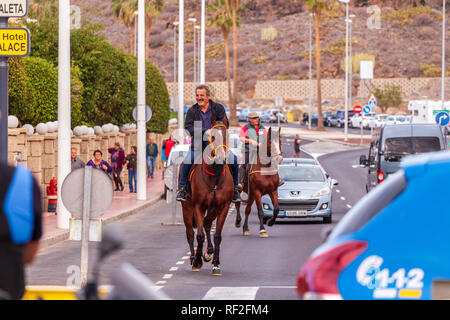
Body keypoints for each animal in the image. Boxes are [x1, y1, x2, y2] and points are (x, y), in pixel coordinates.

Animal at [181, 117, 234, 276]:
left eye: (227, 135)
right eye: (212, 137)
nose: (222, 157)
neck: (215, 175)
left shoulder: (223, 207)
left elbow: (217, 236)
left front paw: (216, 265)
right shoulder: (199, 206)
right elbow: (199, 236)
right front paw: (197, 261)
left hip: (213, 209)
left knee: (207, 223)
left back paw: (209, 252)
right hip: (187, 208)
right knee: (190, 233)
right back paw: (194, 258)